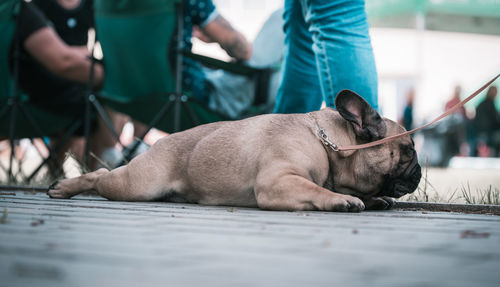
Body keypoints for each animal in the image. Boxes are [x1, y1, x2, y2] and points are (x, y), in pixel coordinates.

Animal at [47, 91, 422, 213]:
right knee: (101, 175)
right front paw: (343, 199)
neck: (329, 144)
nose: (419, 170)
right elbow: (316, 189)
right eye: (407, 150)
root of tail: (160, 141)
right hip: (137, 185)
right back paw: (63, 188)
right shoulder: (278, 181)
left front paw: (374, 198)